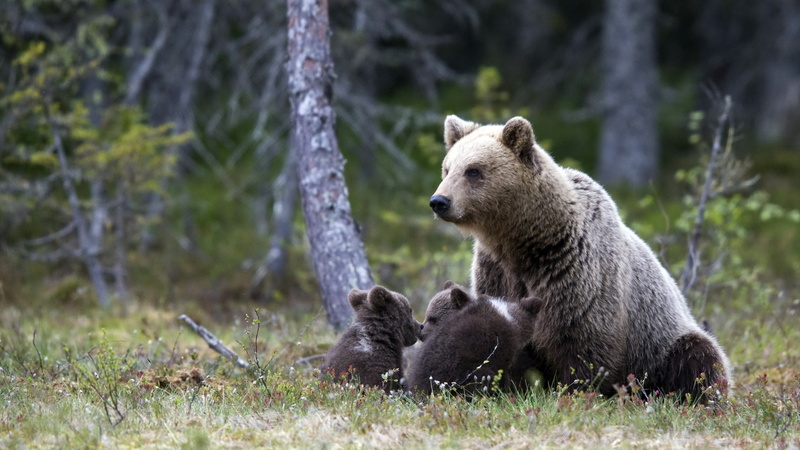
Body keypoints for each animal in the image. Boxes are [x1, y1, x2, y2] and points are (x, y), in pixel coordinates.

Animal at [429, 115, 732, 401]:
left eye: (473, 170)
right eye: (447, 168)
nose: (439, 201)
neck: (526, 242)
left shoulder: (578, 272)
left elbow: (582, 342)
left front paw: (575, 392)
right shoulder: (497, 271)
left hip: (664, 342)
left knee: (698, 358)